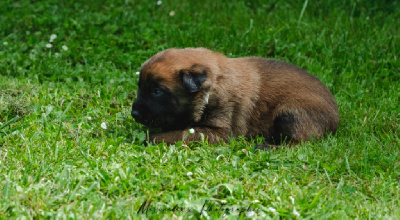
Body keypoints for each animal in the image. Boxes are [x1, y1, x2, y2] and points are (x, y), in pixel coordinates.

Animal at [130, 48, 338, 148]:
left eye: (157, 91)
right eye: (140, 87)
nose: (134, 113)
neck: (212, 87)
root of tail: (336, 118)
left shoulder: (220, 132)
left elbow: (181, 133)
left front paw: (151, 137)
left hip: (289, 114)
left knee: (299, 143)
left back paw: (266, 147)